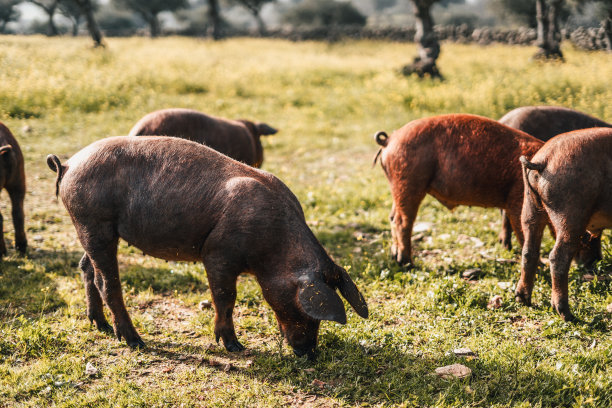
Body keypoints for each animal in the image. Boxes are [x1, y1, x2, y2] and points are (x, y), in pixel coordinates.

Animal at [47, 137, 368, 360]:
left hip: (91, 229)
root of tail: (68, 165)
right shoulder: (217, 254)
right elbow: (225, 297)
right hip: (94, 222)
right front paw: (235, 347)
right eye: (305, 310)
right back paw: (135, 341)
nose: (311, 355)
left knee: (86, 268)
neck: (274, 248)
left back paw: (100, 326)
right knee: (106, 281)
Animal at [372, 115, 540, 266]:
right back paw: (407, 263)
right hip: (408, 181)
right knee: (402, 221)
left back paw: (395, 257)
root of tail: (389, 140)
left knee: (392, 217)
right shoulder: (517, 199)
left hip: (397, 185)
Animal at [520, 127, 612, 322]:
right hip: (571, 211)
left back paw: (523, 300)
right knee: (558, 256)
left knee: (529, 250)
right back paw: (567, 314)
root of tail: (544, 159)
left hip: (530, 207)